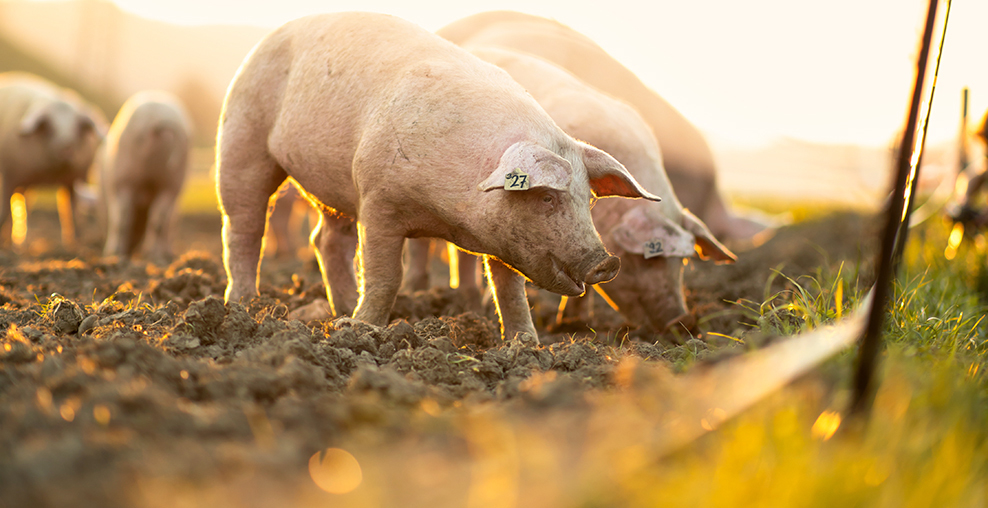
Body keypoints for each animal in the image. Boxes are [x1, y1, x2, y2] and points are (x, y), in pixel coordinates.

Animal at [0, 71, 105, 246]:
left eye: (76, 126)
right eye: (50, 125)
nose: (67, 147)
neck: (49, 175)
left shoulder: (74, 180)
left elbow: (72, 212)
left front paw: (74, 244)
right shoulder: (9, 175)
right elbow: (5, 209)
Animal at [100, 91, 191, 264]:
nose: (132, 249)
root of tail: (156, 119)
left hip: (124, 178)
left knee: (122, 217)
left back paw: (116, 253)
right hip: (171, 180)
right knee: (159, 219)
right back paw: (154, 255)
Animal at [217, 11, 664, 344]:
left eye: (587, 198)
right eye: (546, 198)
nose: (605, 261)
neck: (448, 216)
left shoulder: (504, 234)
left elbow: (509, 290)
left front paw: (527, 346)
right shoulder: (377, 199)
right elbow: (386, 275)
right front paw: (363, 331)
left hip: (335, 187)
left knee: (325, 241)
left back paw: (338, 312)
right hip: (242, 136)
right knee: (244, 226)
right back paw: (246, 306)